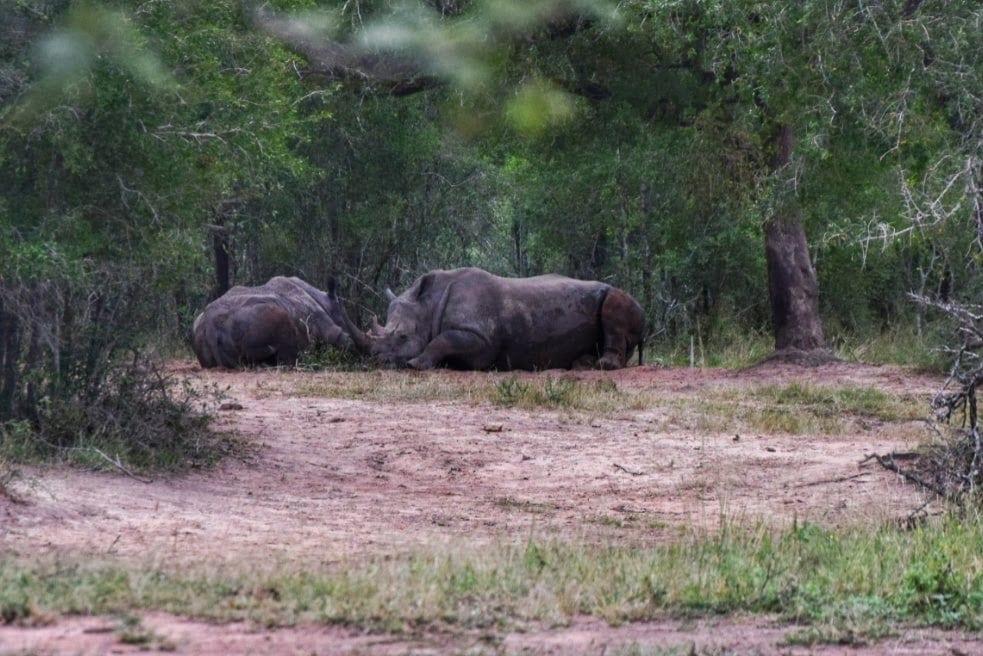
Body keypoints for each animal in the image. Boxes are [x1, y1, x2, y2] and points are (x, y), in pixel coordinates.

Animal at [346, 266, 644, 368]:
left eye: (403, 337)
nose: (375, 360)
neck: (428, 305)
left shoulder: (482, 341)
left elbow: (441, 340)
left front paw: (415, 363)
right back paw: (582, 364)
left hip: (621, 296)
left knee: (615, 302)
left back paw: (602, 366)